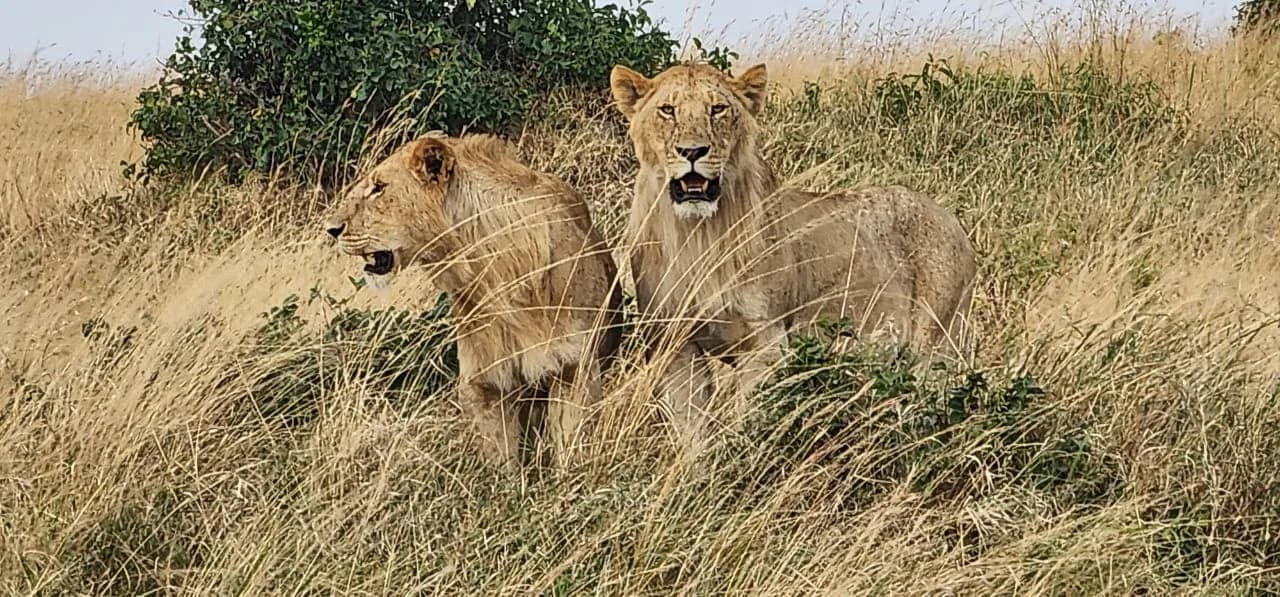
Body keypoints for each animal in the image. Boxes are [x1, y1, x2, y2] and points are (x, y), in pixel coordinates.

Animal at [323, 132, 624, 472]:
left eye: (379, 187)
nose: (331, 229)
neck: (490, 273)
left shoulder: (575, 366)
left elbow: (572, 443)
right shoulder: (485, 382)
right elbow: (500, 462)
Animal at [609, 61, 978, 450]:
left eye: (718, 109)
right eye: (668, 110)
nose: (692, 151)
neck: (698, 235)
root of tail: (951, 219)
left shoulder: (766, 344)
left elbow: (746, 421)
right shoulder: (673, 345)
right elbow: (692, 428)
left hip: (939, 345)